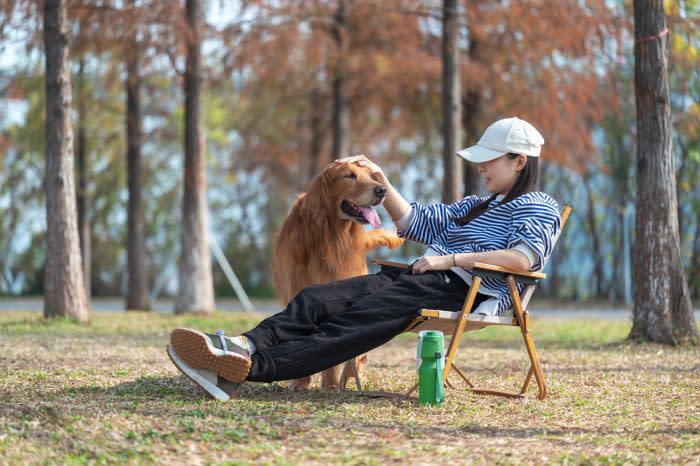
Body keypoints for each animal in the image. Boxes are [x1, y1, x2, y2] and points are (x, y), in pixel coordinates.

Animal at [272, 160, 404, 390]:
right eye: (349, 175)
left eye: (370, 175)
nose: (382, 190)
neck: (329, 236)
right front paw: (302, 382)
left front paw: (331, 384)